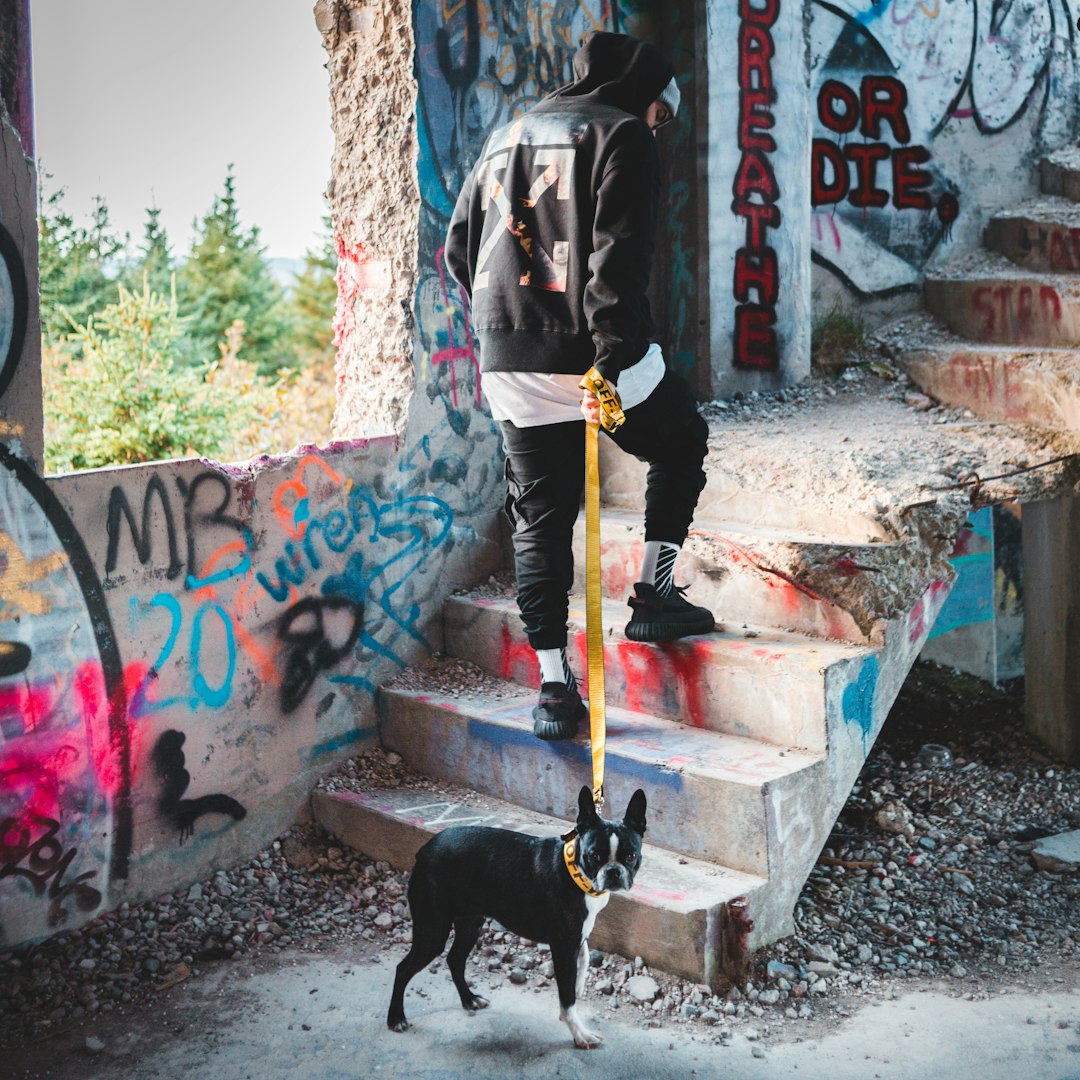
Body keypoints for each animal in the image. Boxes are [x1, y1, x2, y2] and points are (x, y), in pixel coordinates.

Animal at [386, 786, 643, 1045]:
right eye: (594, 856)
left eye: (631, 856)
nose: (613, 872)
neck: (576, 873)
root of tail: (425, 849)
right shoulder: (562, 946)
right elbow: (567, 999)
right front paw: (580, 1033)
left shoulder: (576, 936)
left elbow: (586, 955)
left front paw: (579, 985)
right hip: (433, 932)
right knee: (403, 968)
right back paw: (396, 1018)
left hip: (470, 923)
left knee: (455, 960)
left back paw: (469, 999)